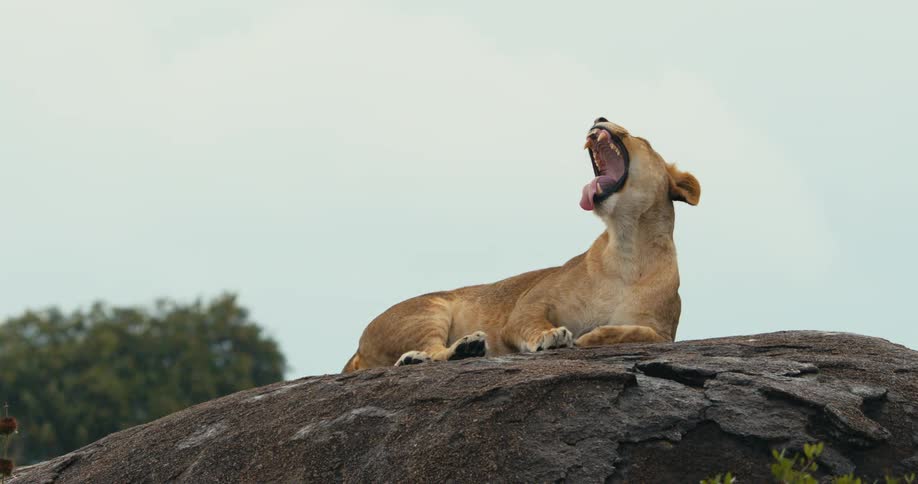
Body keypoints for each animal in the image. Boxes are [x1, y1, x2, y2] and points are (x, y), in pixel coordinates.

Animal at [343, 117, 700, 372]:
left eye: (644, 140)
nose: (600, 117)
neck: (627, 246)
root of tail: (356, 350)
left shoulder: (664, 331)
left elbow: (639, 332)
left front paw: (594, 336)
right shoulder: (529, 304)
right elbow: (531, 321)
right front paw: (551, 335)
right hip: (428, 312)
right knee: (432, 349)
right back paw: (455, 350)